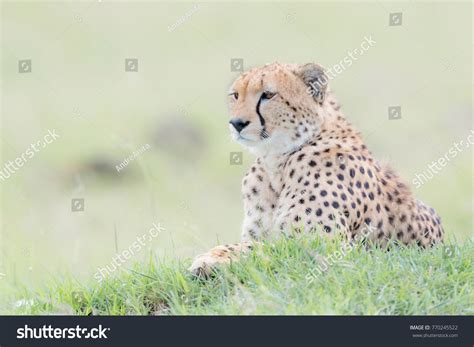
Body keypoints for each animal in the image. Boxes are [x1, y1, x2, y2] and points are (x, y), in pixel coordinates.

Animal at [189, 61, 444, 276]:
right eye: (235, 95)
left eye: (268, 95)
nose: (237, 123)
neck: (276, 162)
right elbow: (254, 242)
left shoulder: (324, 244)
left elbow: (260, 247)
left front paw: (211, 258)